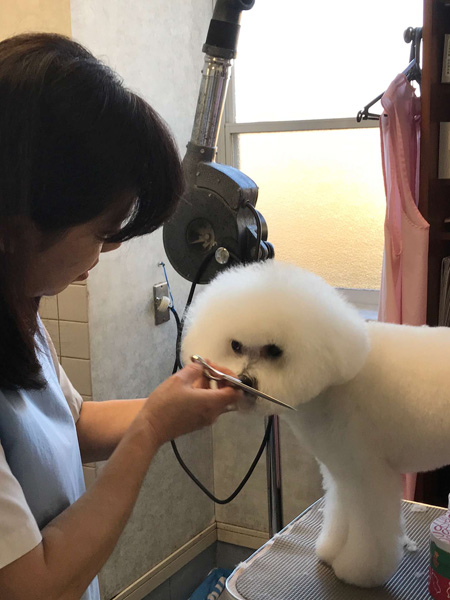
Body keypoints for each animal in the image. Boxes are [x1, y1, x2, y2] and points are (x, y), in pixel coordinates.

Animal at [181, 260, 450, 588]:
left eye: (274, 350)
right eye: (235, 345)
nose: (244, 382)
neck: (336, 381)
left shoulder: (370, 475)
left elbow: (370, 533)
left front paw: (360, 571)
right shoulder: (344, 471)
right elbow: (340, 514)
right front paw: (333, 551)